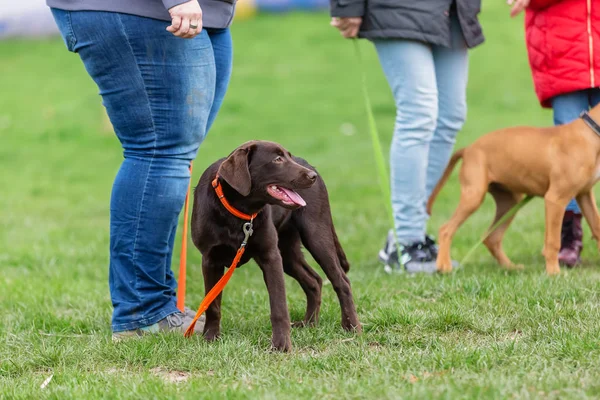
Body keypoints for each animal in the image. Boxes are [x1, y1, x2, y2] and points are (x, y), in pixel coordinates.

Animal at [192, 140, 360, 350]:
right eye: (277, 159)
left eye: (288, 156)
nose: (312, 177)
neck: (238, 211)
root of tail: (310, 165)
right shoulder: (210, 260)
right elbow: (212, 303)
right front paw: (210, 337)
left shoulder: (270, 256)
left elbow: (279, 307)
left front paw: (281, 345)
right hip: (288, 252)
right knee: (314, 281)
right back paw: (309, 324)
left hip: (317, 236)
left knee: (341, 281)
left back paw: (352, 327)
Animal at [426, 105, 600, 276]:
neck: (591, 132)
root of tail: (468, 149)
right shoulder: (555, 199)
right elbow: (553, 242)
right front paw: (553, 273)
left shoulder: (584, 195)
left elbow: (597, 226)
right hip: (474, 196)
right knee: (446, 229)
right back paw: (444, 266)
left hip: (510, 202)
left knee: (492, 238)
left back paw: (509, 267)